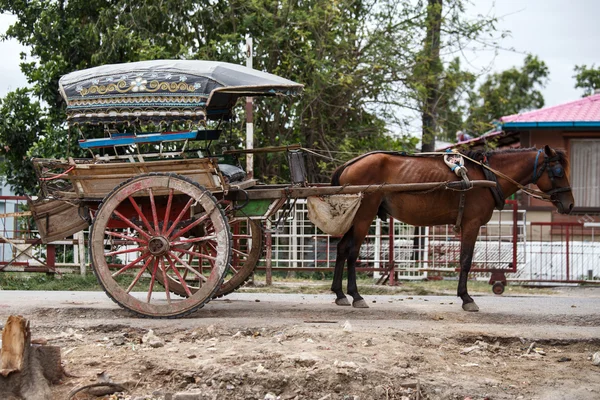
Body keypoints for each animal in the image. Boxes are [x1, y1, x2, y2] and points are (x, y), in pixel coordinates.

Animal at [330, 145, 576, 310]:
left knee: (342, 249)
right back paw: (356, 295)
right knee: (352, 252)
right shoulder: (472, 224)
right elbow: (465, 260)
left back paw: (340, 294)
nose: (570, 204)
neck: (488, 175)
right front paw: (466, 298)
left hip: (354, 215)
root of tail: (349, 164)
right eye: (558, 172)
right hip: (364, 215)